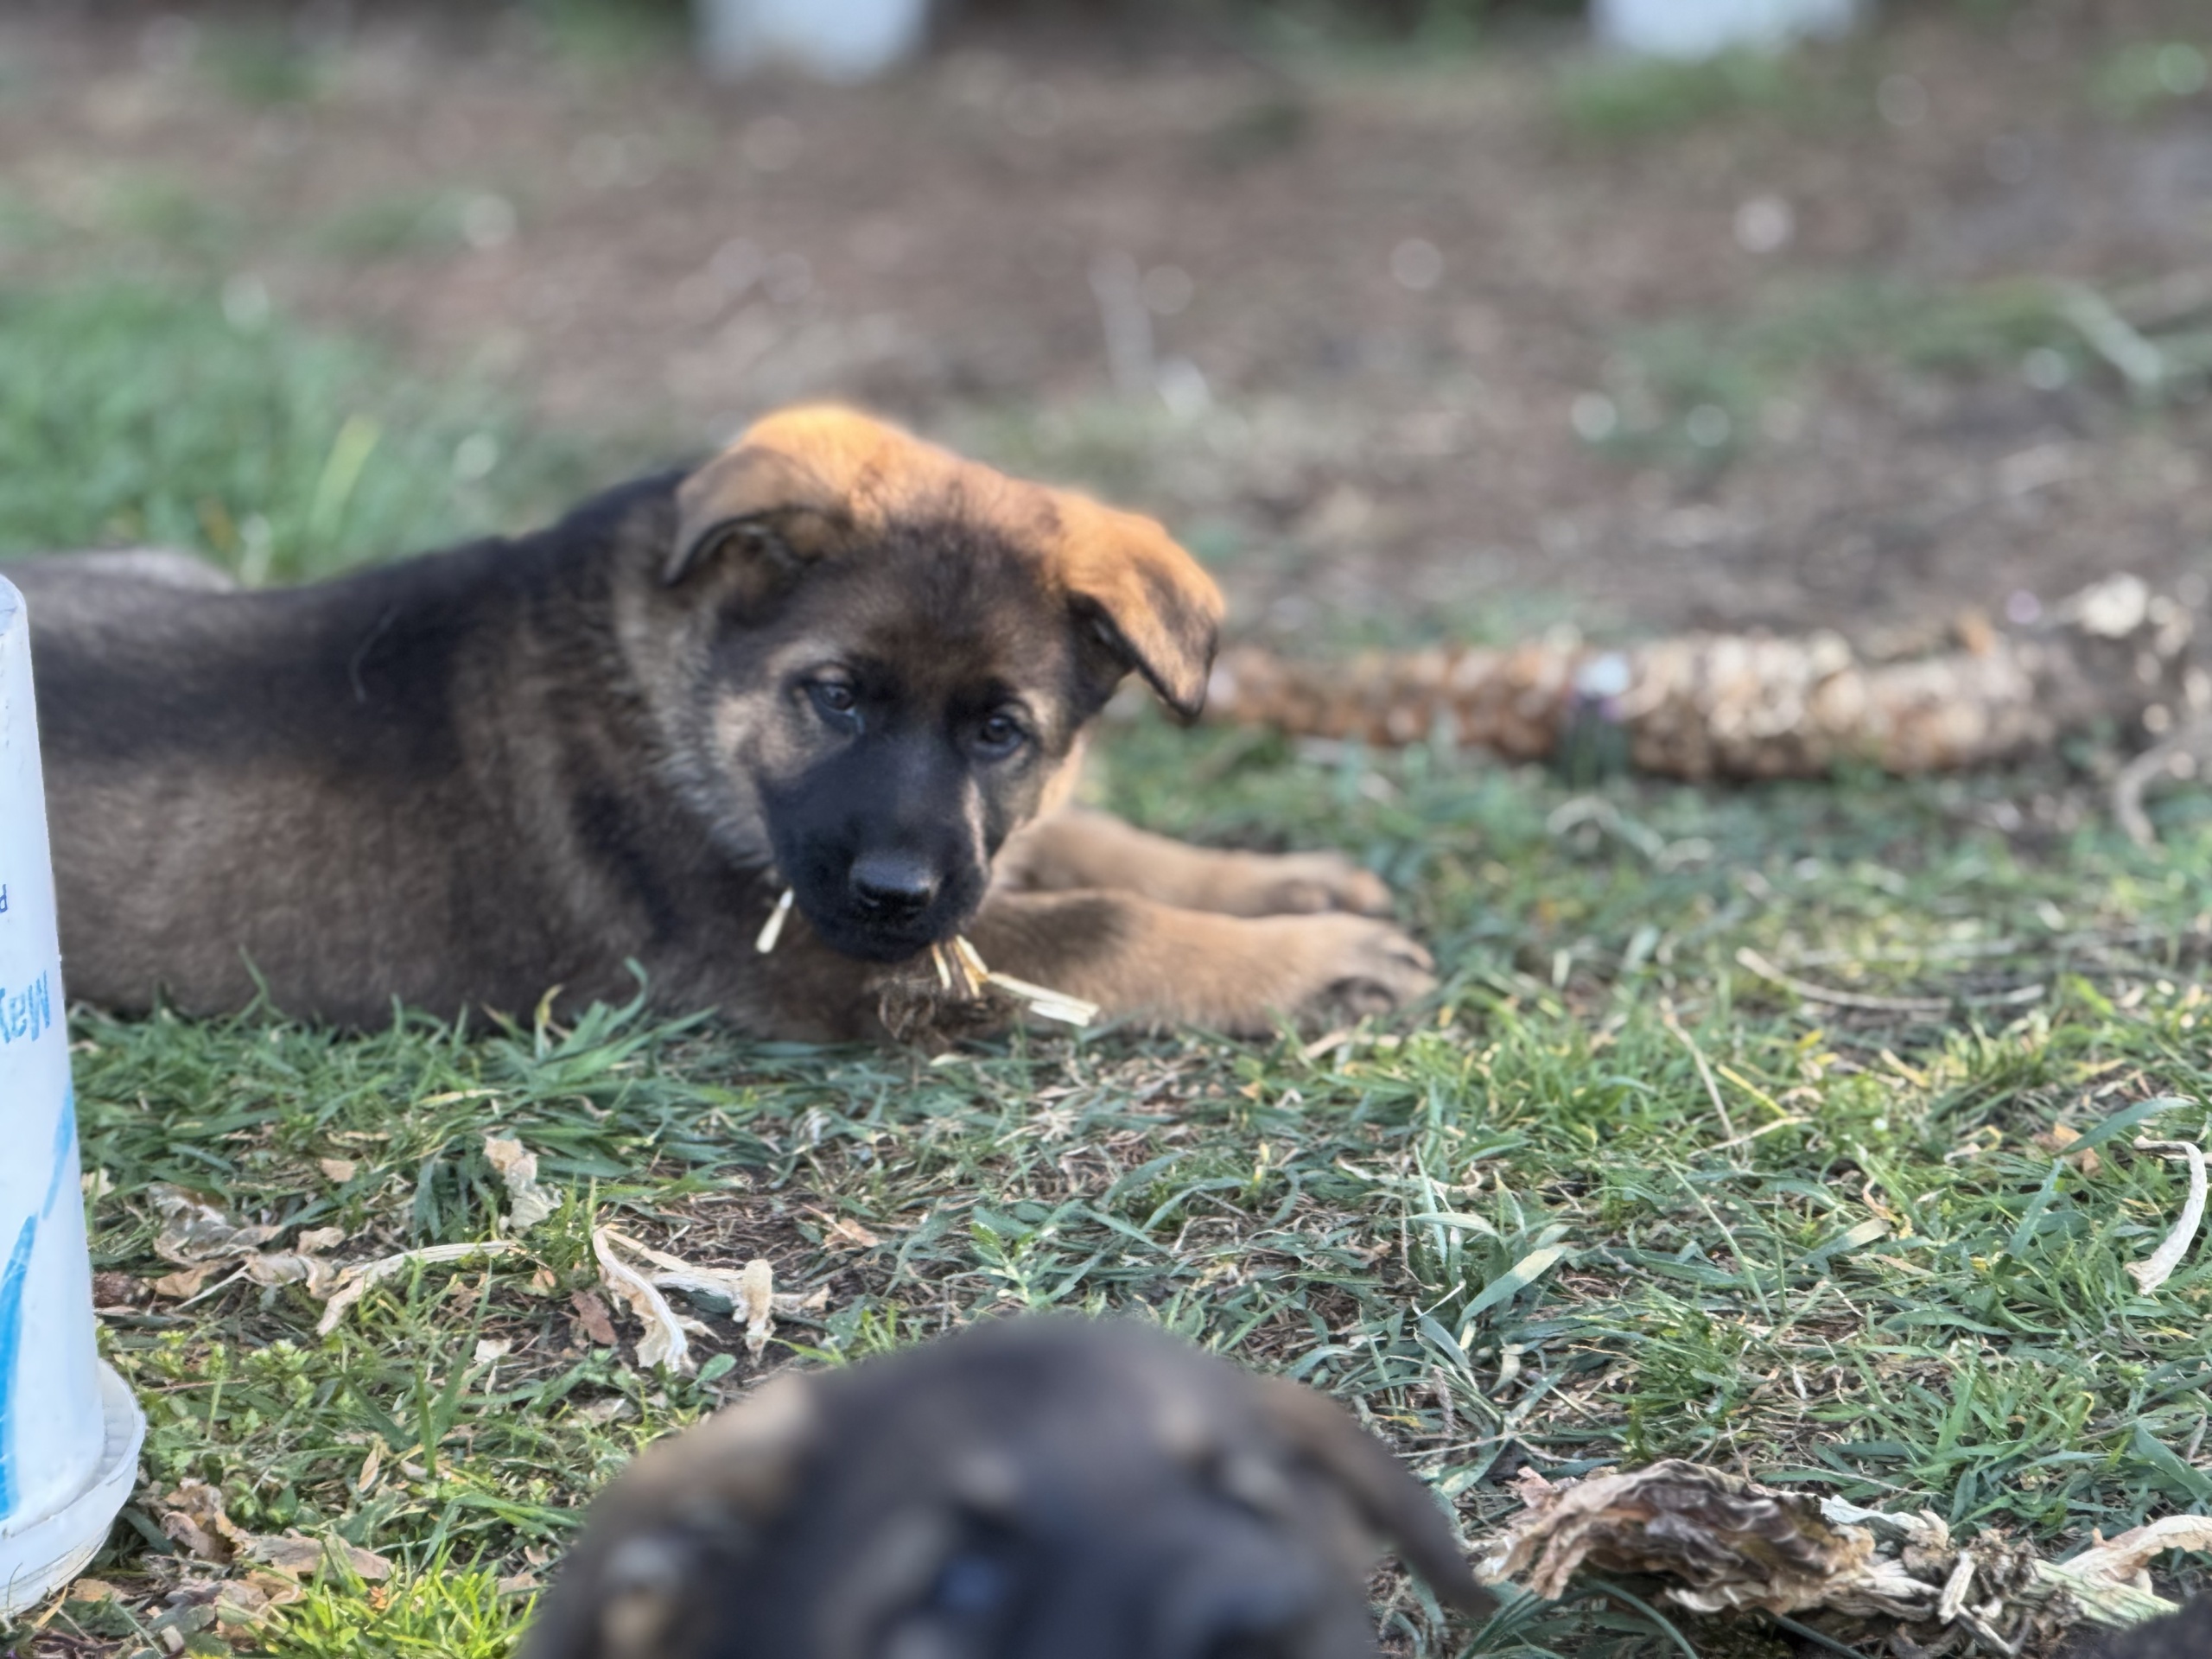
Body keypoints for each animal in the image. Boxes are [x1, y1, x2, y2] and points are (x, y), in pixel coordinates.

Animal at [17, 407, 1436, 1039]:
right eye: (835, 697)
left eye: (1000, 732)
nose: (892, 891)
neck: (673, 689)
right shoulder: (832, 959)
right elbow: (1100, 923)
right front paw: (1316, 957)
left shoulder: (965, 859)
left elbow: (1093, 845)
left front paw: (1290, 882)